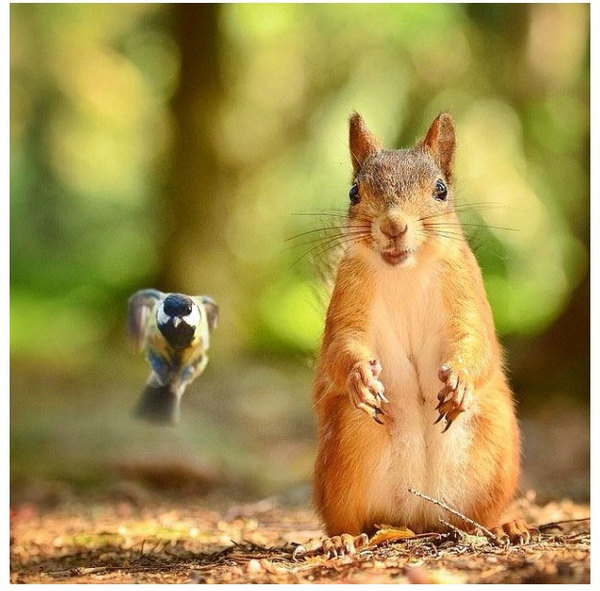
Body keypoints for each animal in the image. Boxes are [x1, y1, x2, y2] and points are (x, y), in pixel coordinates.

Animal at [302, 112, 528, 560]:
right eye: (354, 192)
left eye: (440, 190)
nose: (393, 225)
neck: (405, 271)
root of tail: (418, 519)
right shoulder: (347, 301)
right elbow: (340, 346)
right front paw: (359, 377)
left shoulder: (466, 292)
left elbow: (476, 342)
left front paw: (459, 380)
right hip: (345, 452)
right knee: (349, 521)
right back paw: (339, 539)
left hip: (495, 453)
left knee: (478, 520)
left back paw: (506, 526)